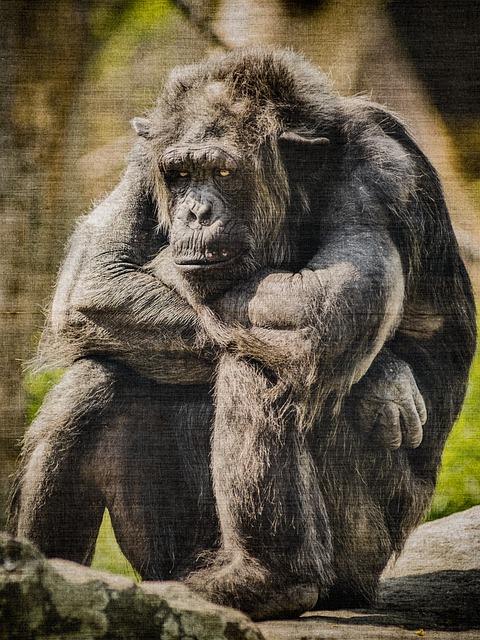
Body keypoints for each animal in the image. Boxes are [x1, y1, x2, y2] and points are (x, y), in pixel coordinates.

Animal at [9, 47, 475, 620]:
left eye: (225, 171)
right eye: (181, 174)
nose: (195, 210)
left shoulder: (383, 174)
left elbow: (323, 306)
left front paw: (382, 377)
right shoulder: (146, 156)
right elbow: (96, 275)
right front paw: (386, 378)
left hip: (361, 550)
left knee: (263, 365)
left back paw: (268, 579)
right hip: (164, 554)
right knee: (93, 382)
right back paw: (51, 572)